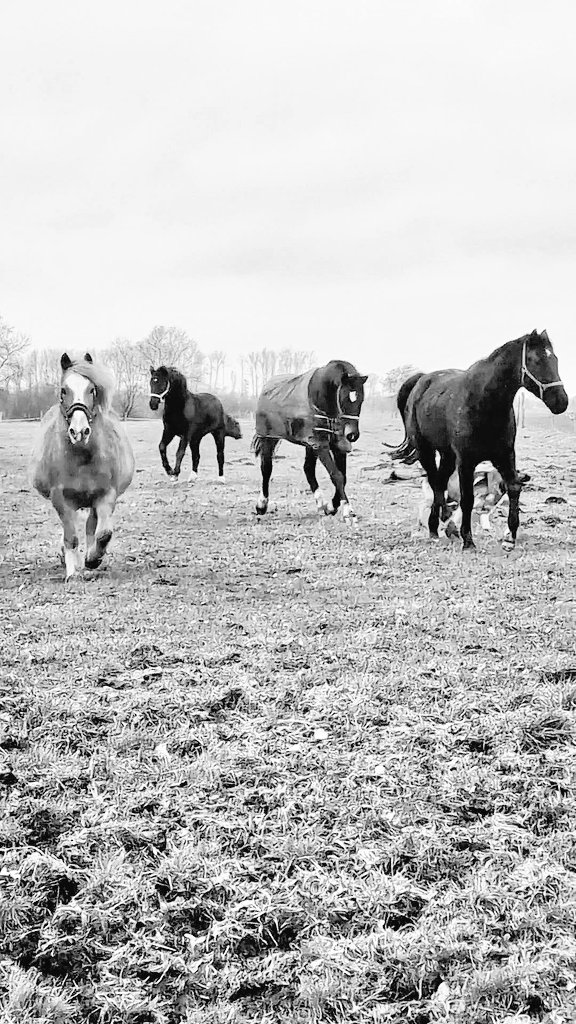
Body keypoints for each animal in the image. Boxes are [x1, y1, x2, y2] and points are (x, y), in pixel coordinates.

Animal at [31, 353, 135, 580]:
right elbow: (70, 537)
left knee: (90, 528)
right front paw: (72, 572)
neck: (82, 459)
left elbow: (103, 534)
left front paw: (93, 559)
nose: (79, 431)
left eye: (92, 389)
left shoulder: (105, 496)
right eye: (63, 390)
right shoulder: (61, 500)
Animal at [252, 359, 368, 520]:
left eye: (361, 400)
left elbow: (342, 476)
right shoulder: (320, 444)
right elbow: (336, 475)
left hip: (309, 444)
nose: (352, 435)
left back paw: (321, 503)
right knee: (266, 468)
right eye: (344, 398)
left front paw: (331, 507)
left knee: (308, 469)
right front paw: (347, 510)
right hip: (268, 438)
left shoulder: (337, 445)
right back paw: (261, 505)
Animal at [387, 330, 568, 550]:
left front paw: (510, 536)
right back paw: (444, 523)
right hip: (425, 450)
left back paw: (435, 525)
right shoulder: (466, 461)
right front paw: (468, 540)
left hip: (447, 455)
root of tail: (421, 380)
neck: (484, 404)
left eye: (555, 359)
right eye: (536, 360)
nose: (561, 401)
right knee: (434, 480)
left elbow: (514, 487)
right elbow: (467, 499)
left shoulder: (505, 455)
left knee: (440, 481)